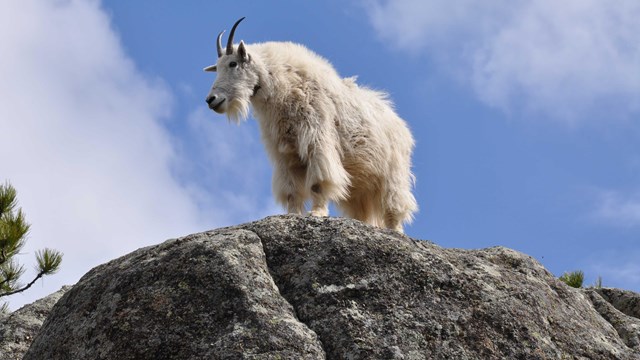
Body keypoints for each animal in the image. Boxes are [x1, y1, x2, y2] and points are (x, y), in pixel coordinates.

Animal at [202, 17, 418, 233]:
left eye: (233, 63)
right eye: (217, 68)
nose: (212, 100)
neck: (283, 88)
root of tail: (402, 126)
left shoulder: (317, 140)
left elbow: (318, 182)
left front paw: (317, 213)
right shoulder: (285, 152)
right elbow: (291, 191)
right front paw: (291, 215)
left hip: (394, 173)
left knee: (394, 204)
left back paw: (395, 230)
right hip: (361, 184)